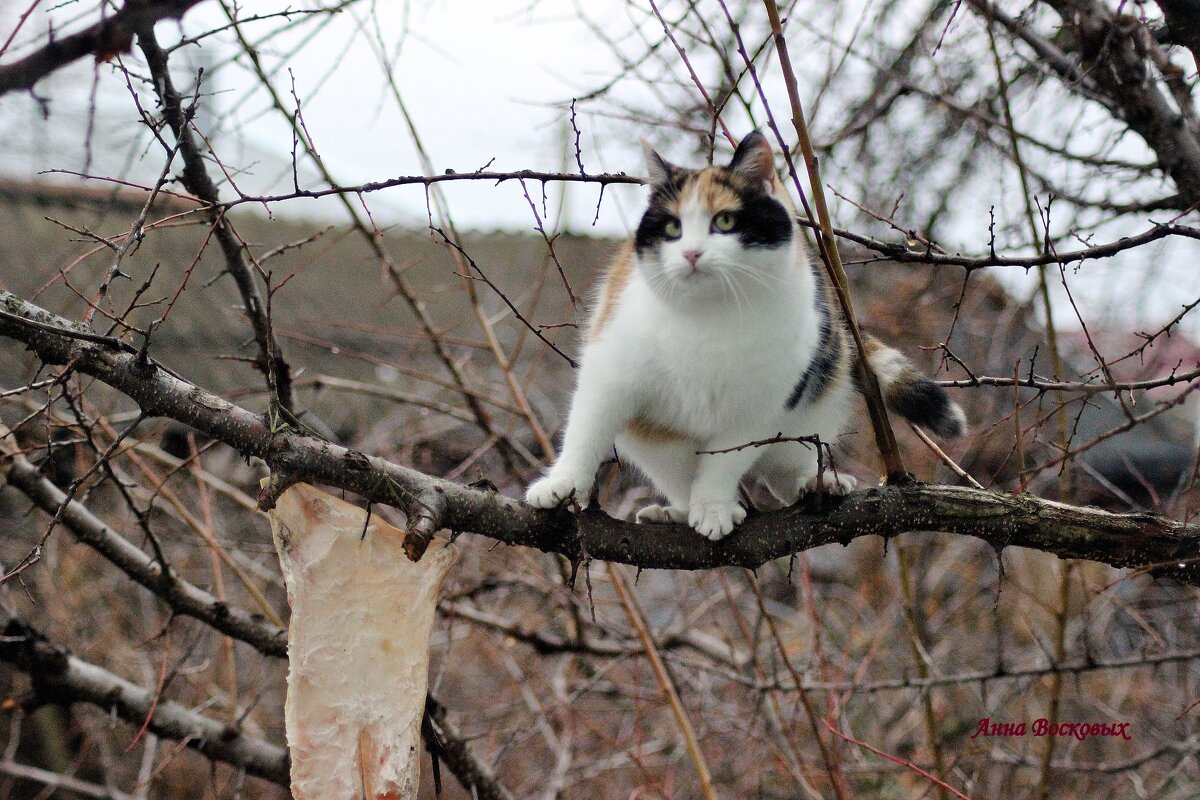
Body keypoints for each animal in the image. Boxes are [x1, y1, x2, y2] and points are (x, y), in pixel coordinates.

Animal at [525, 133, 964, 544]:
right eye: (672, 228)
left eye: (725, 222)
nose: (692, 254)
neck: (709, 318)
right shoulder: (609, 377)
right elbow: (585, 433)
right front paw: (562, 484)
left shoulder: (763, 407)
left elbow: (724, 462)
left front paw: (714, 507)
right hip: (655, 438)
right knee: (676, 472)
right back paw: (675, 511)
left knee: (784, 466)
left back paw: (815, 483)